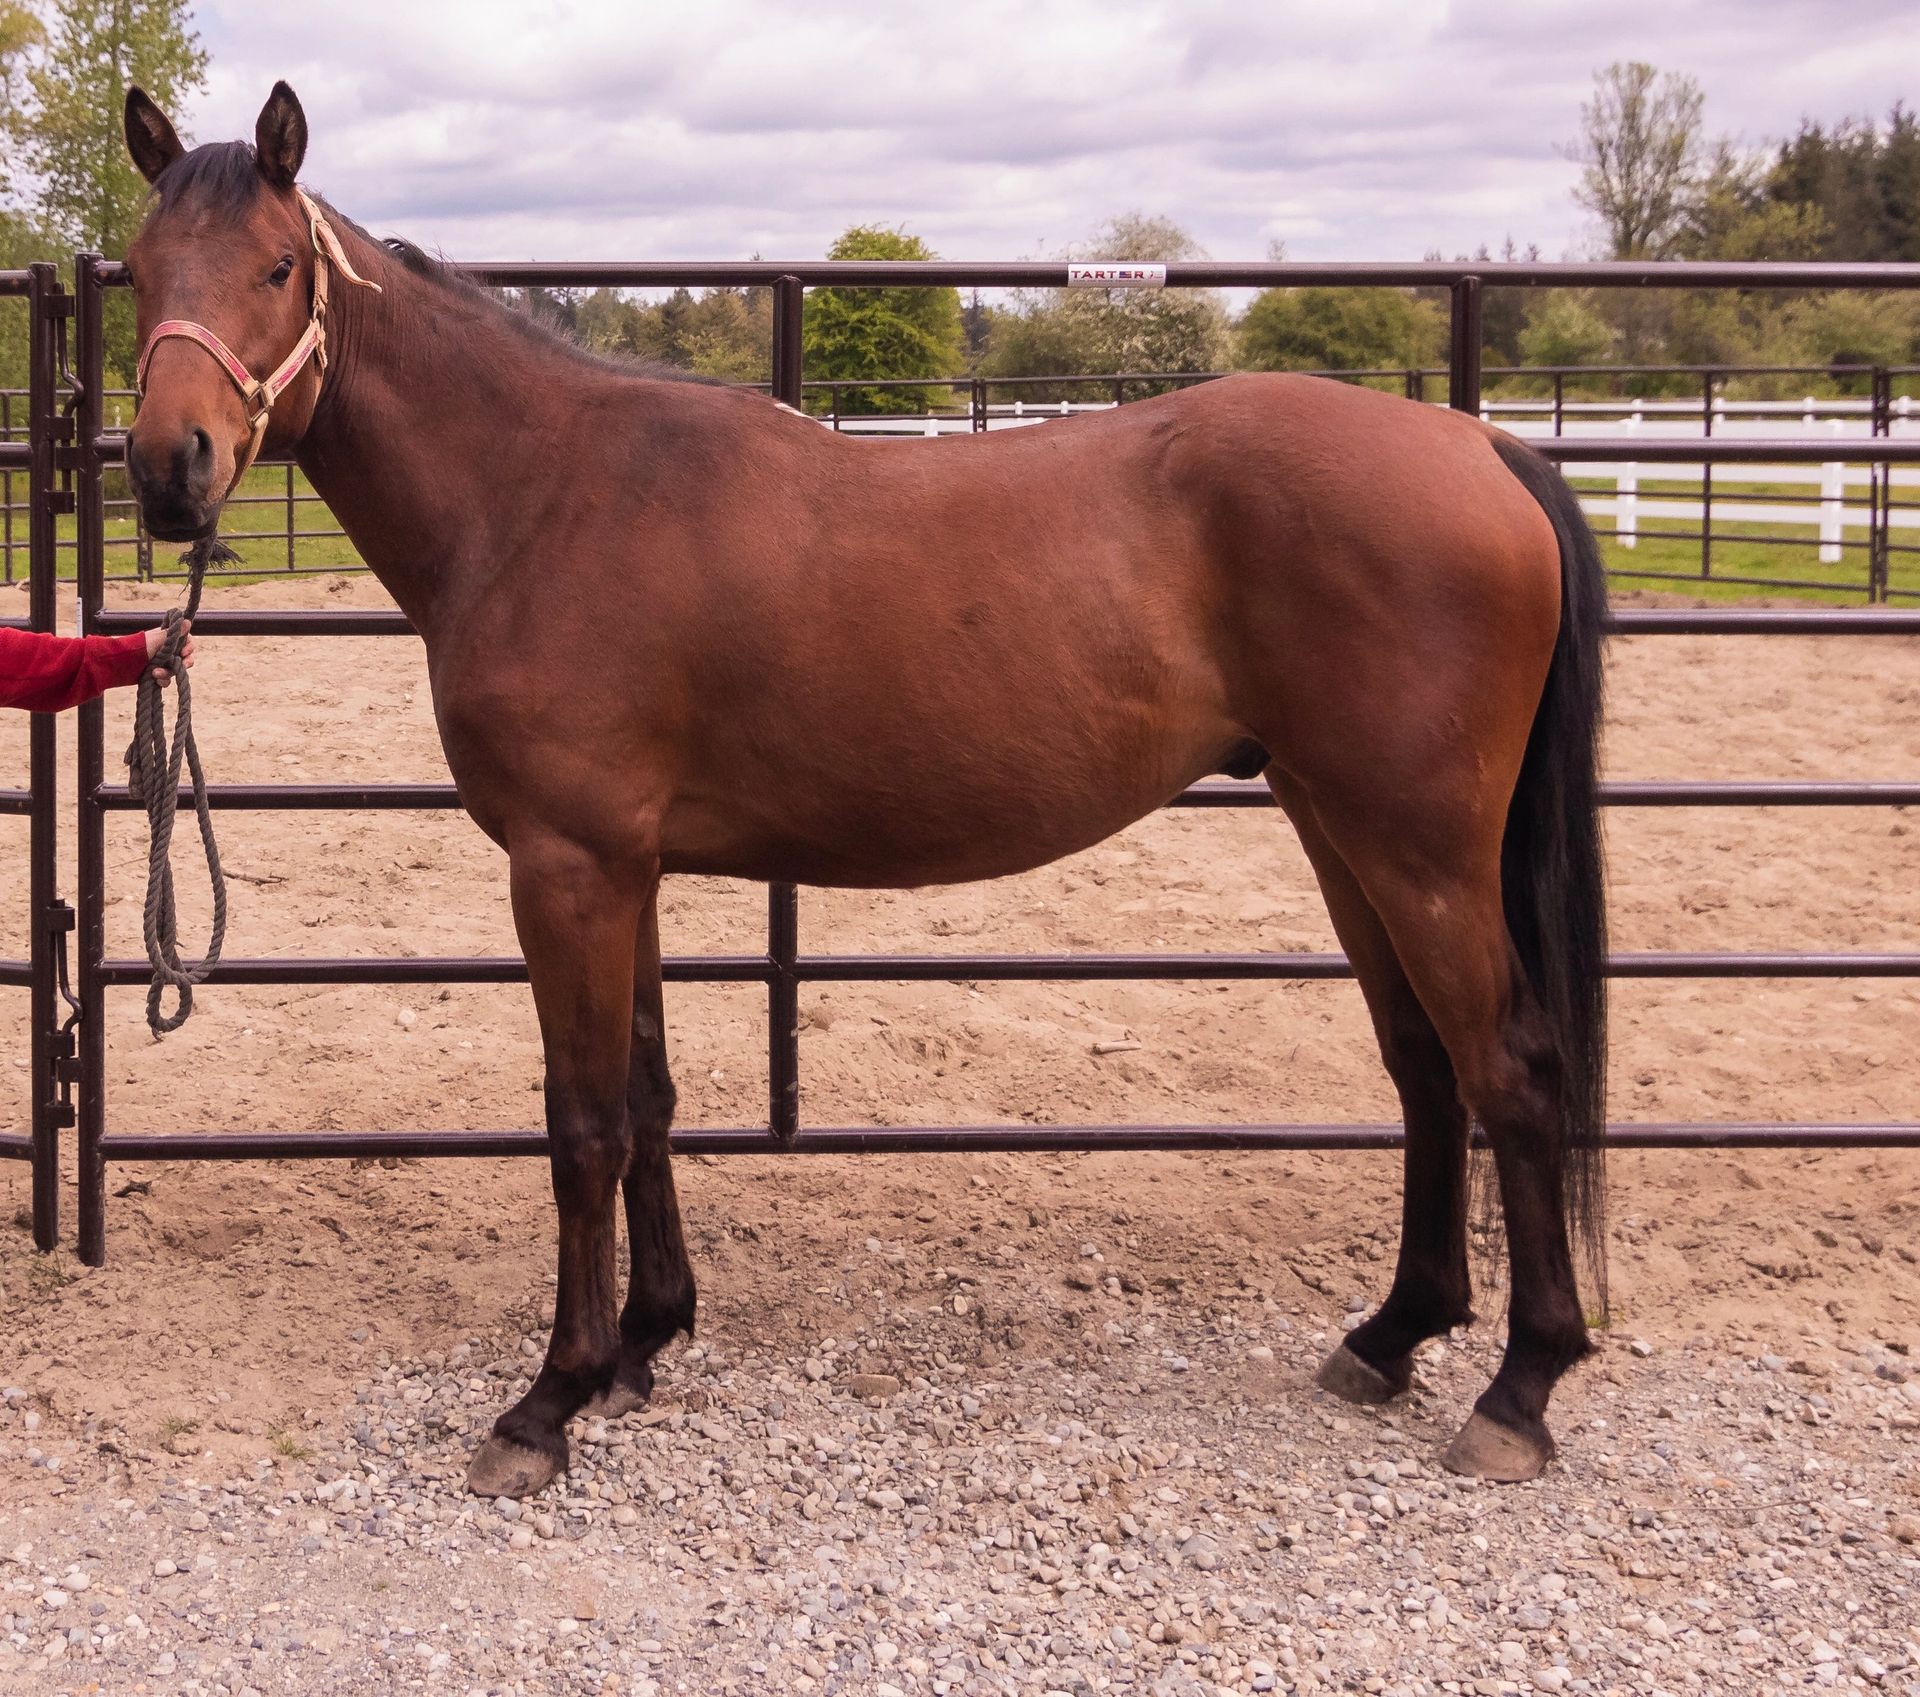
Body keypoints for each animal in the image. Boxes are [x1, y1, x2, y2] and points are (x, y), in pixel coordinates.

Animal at [119, 81, 1610, 1498]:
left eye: (274, 268)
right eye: (137, 269)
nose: (167, 468)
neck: (542, 495)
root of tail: (1481, 449)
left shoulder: (566, 866)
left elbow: (583, 1122)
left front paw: (549, 1399)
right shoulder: (625, 867)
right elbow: (649, 1095)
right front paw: (645, 1341)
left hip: (1418, 848)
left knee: (1512, 1070)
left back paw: (1518, 1391)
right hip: (1339, 828)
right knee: (1426, 1068)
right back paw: (1393, 1334)